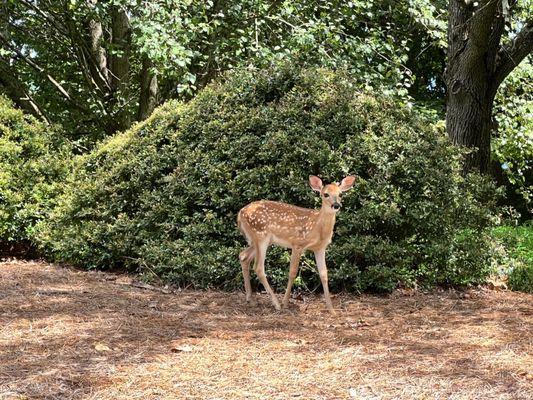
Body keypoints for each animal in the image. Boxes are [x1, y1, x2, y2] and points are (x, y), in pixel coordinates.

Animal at [236, 175, 354, 312]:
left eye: (340, 194)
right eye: (325, 194)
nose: (336, 205)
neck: (317, 227)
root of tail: (239, 214)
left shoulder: (320, 248)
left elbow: (324, 274)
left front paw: (331, 309)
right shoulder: (297, 244)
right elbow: (292, 272)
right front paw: (285, 303)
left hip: (258, 240)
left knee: (243, 256)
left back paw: (250, 299)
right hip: (261, 236)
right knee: (258, 267)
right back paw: (276, 304)